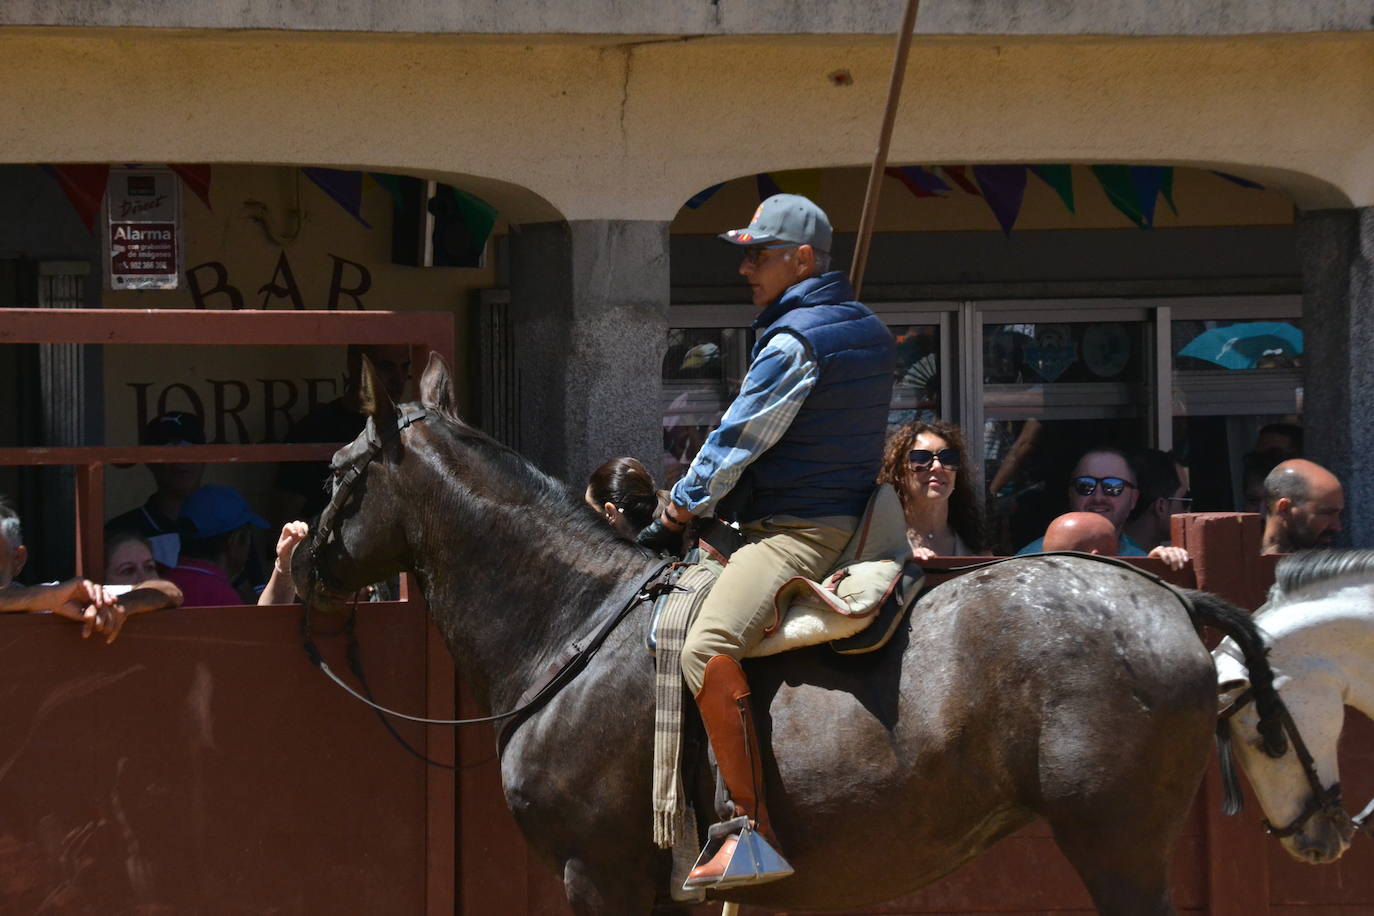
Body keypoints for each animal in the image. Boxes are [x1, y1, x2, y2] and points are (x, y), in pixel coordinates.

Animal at [298, 354, 1275, 916]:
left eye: (338, 472)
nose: (301, 568)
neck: (571, 627)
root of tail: (1170, 598)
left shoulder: (598, 874)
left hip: (1117, 844)